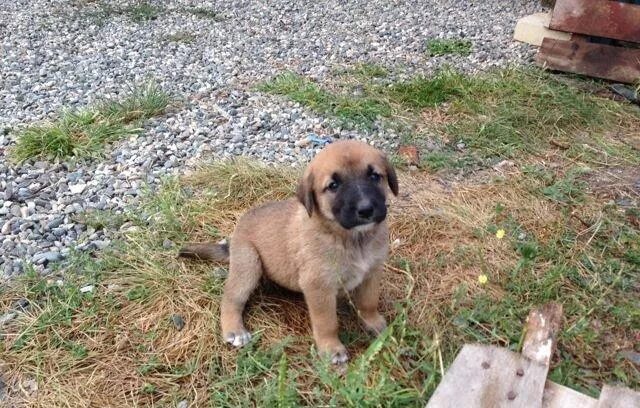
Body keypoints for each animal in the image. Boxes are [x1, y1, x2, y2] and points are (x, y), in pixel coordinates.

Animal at [180, 140, 398, 364]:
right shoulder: (318, 287)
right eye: (333, 186)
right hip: (248, 264)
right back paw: (235, 330)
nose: (366, 209)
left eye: (374, 176)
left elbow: (369, 302)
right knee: (231, 297)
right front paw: (331, 349)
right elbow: (327, 322)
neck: (350, 238)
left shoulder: (372, 272)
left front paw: (374, 324)